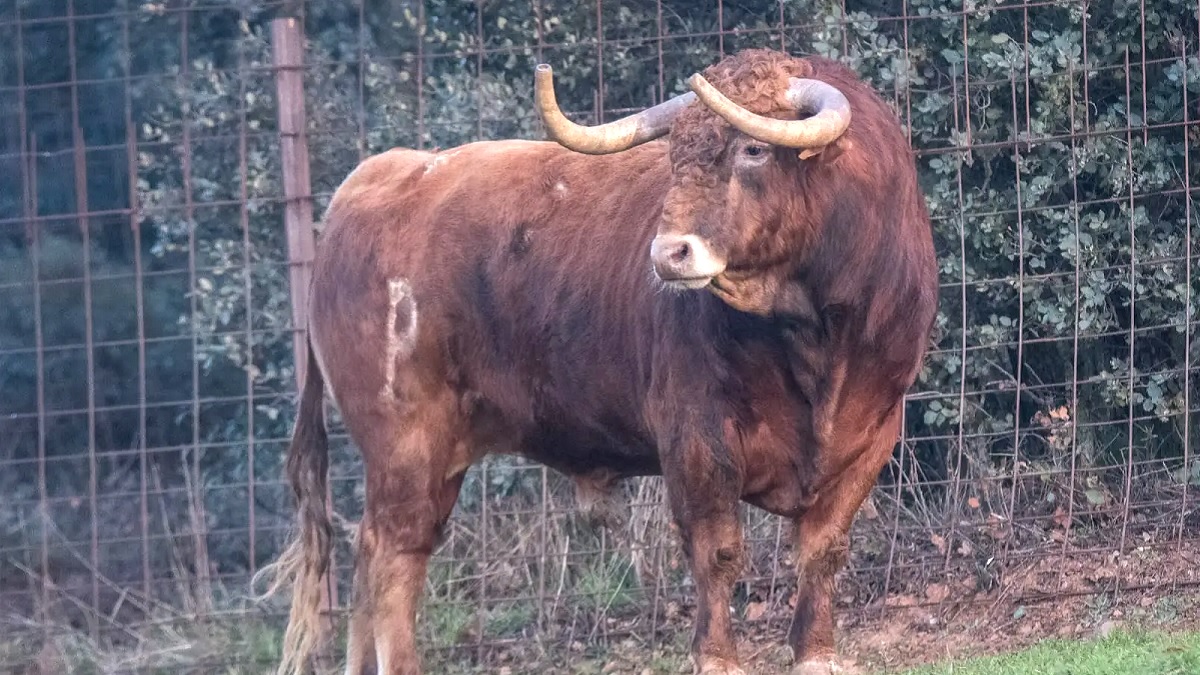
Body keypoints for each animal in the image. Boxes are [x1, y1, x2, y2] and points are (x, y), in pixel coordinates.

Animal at [260, 48, 936, 672]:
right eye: (674, 156)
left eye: (753, 149)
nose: (669, 253)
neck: (817, 343)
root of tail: (380, 172)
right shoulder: (696, 437)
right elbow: (717, 552)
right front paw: (717, 656)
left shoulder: (871, 437)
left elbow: (824, 550)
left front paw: (816, 652)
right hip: (405, 443)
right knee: (394, 557)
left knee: (373, 558)